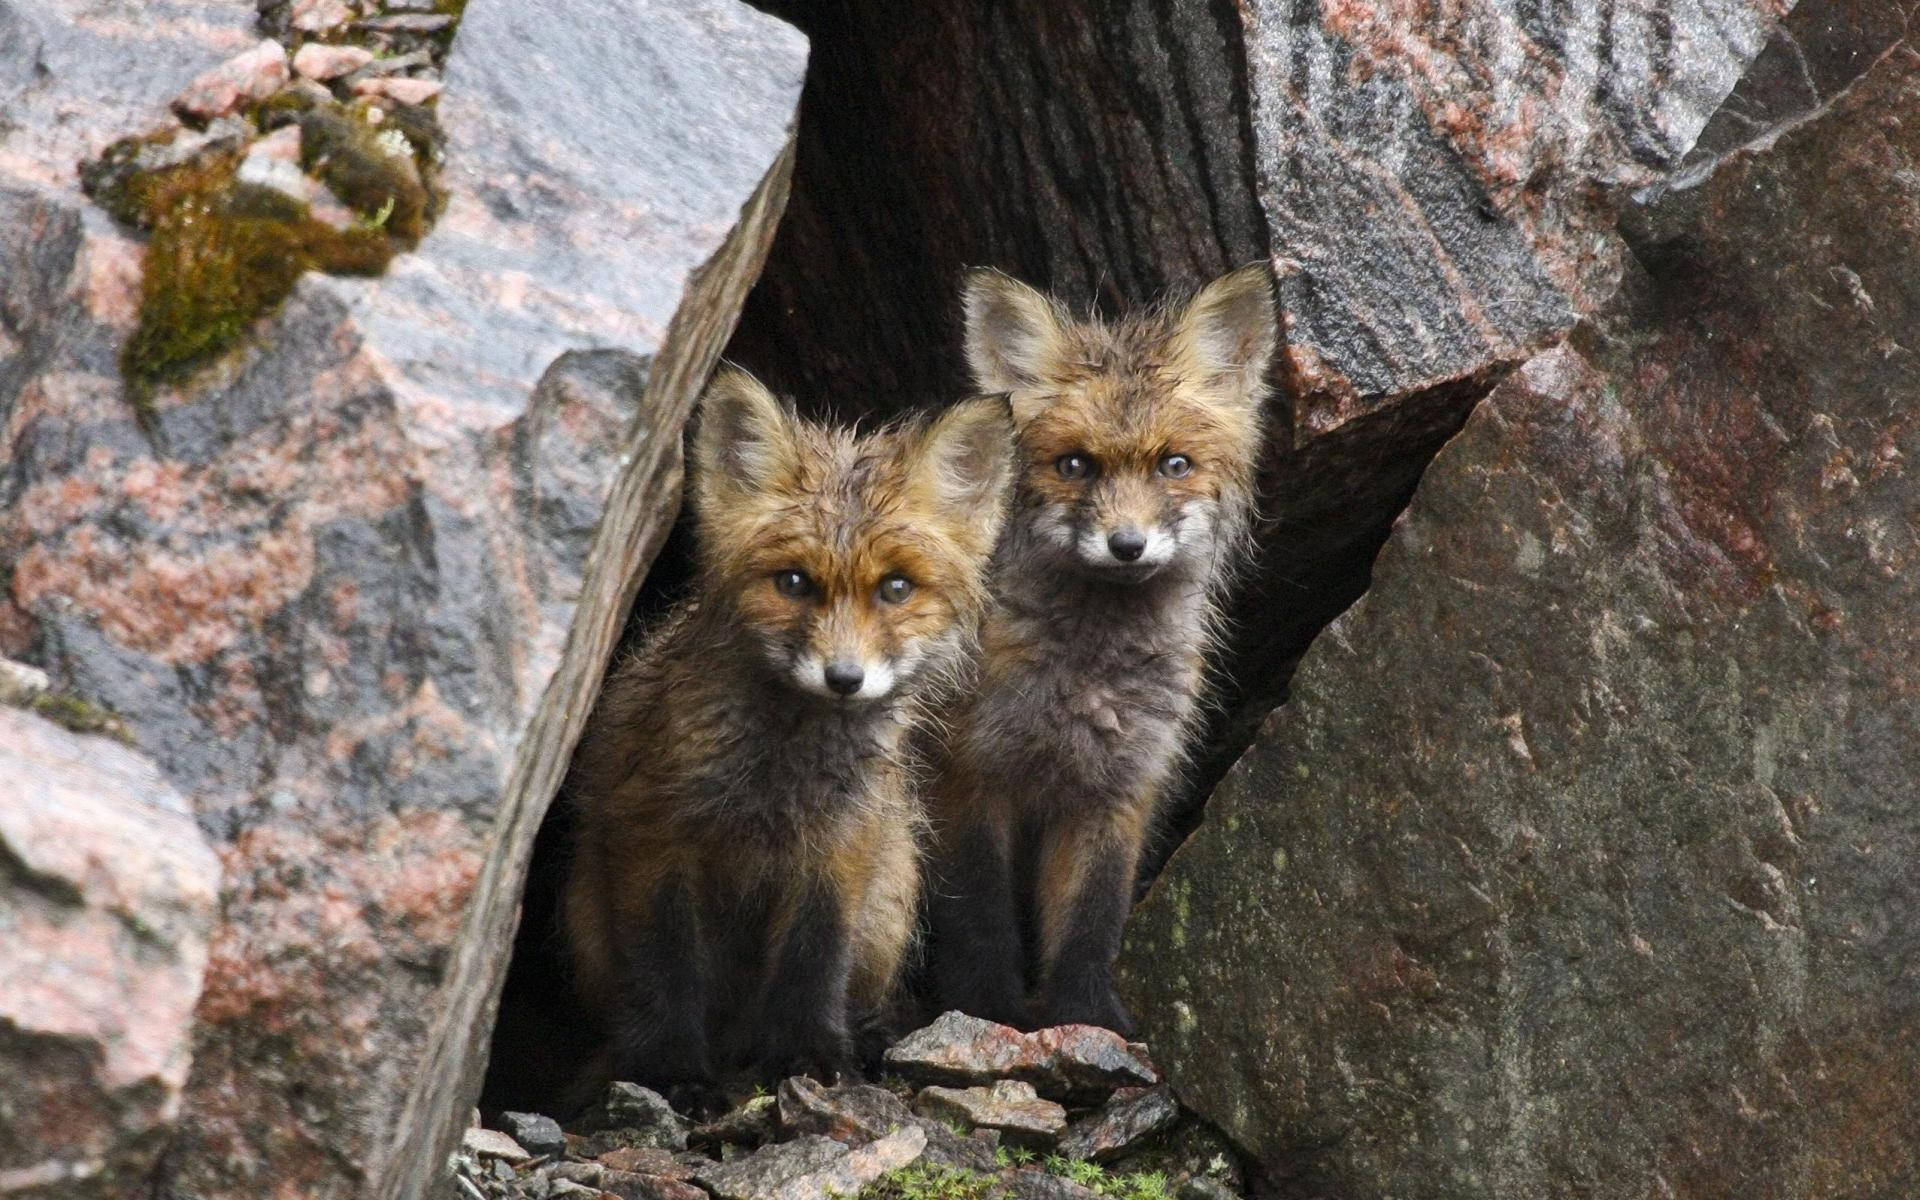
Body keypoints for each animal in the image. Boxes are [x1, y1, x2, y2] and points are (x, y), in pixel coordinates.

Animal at [562, 365, 1014, 1110]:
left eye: (896, 587)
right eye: (795, 582)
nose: (844, 677)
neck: (778, 782)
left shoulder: (839, 848)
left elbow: (813, 962)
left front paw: (811, 1057)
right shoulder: (653, 837)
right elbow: (665, 970)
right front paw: (672, 1072)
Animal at [921, 263, 1277, 1035]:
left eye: (1175, 463)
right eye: (1075, 465)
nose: (1127, 544)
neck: (1087, 680)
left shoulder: (1119, 790)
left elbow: (1092, 919)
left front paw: (1086, 1017)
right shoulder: (971, 772)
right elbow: (980, 914)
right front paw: (987, 1010)